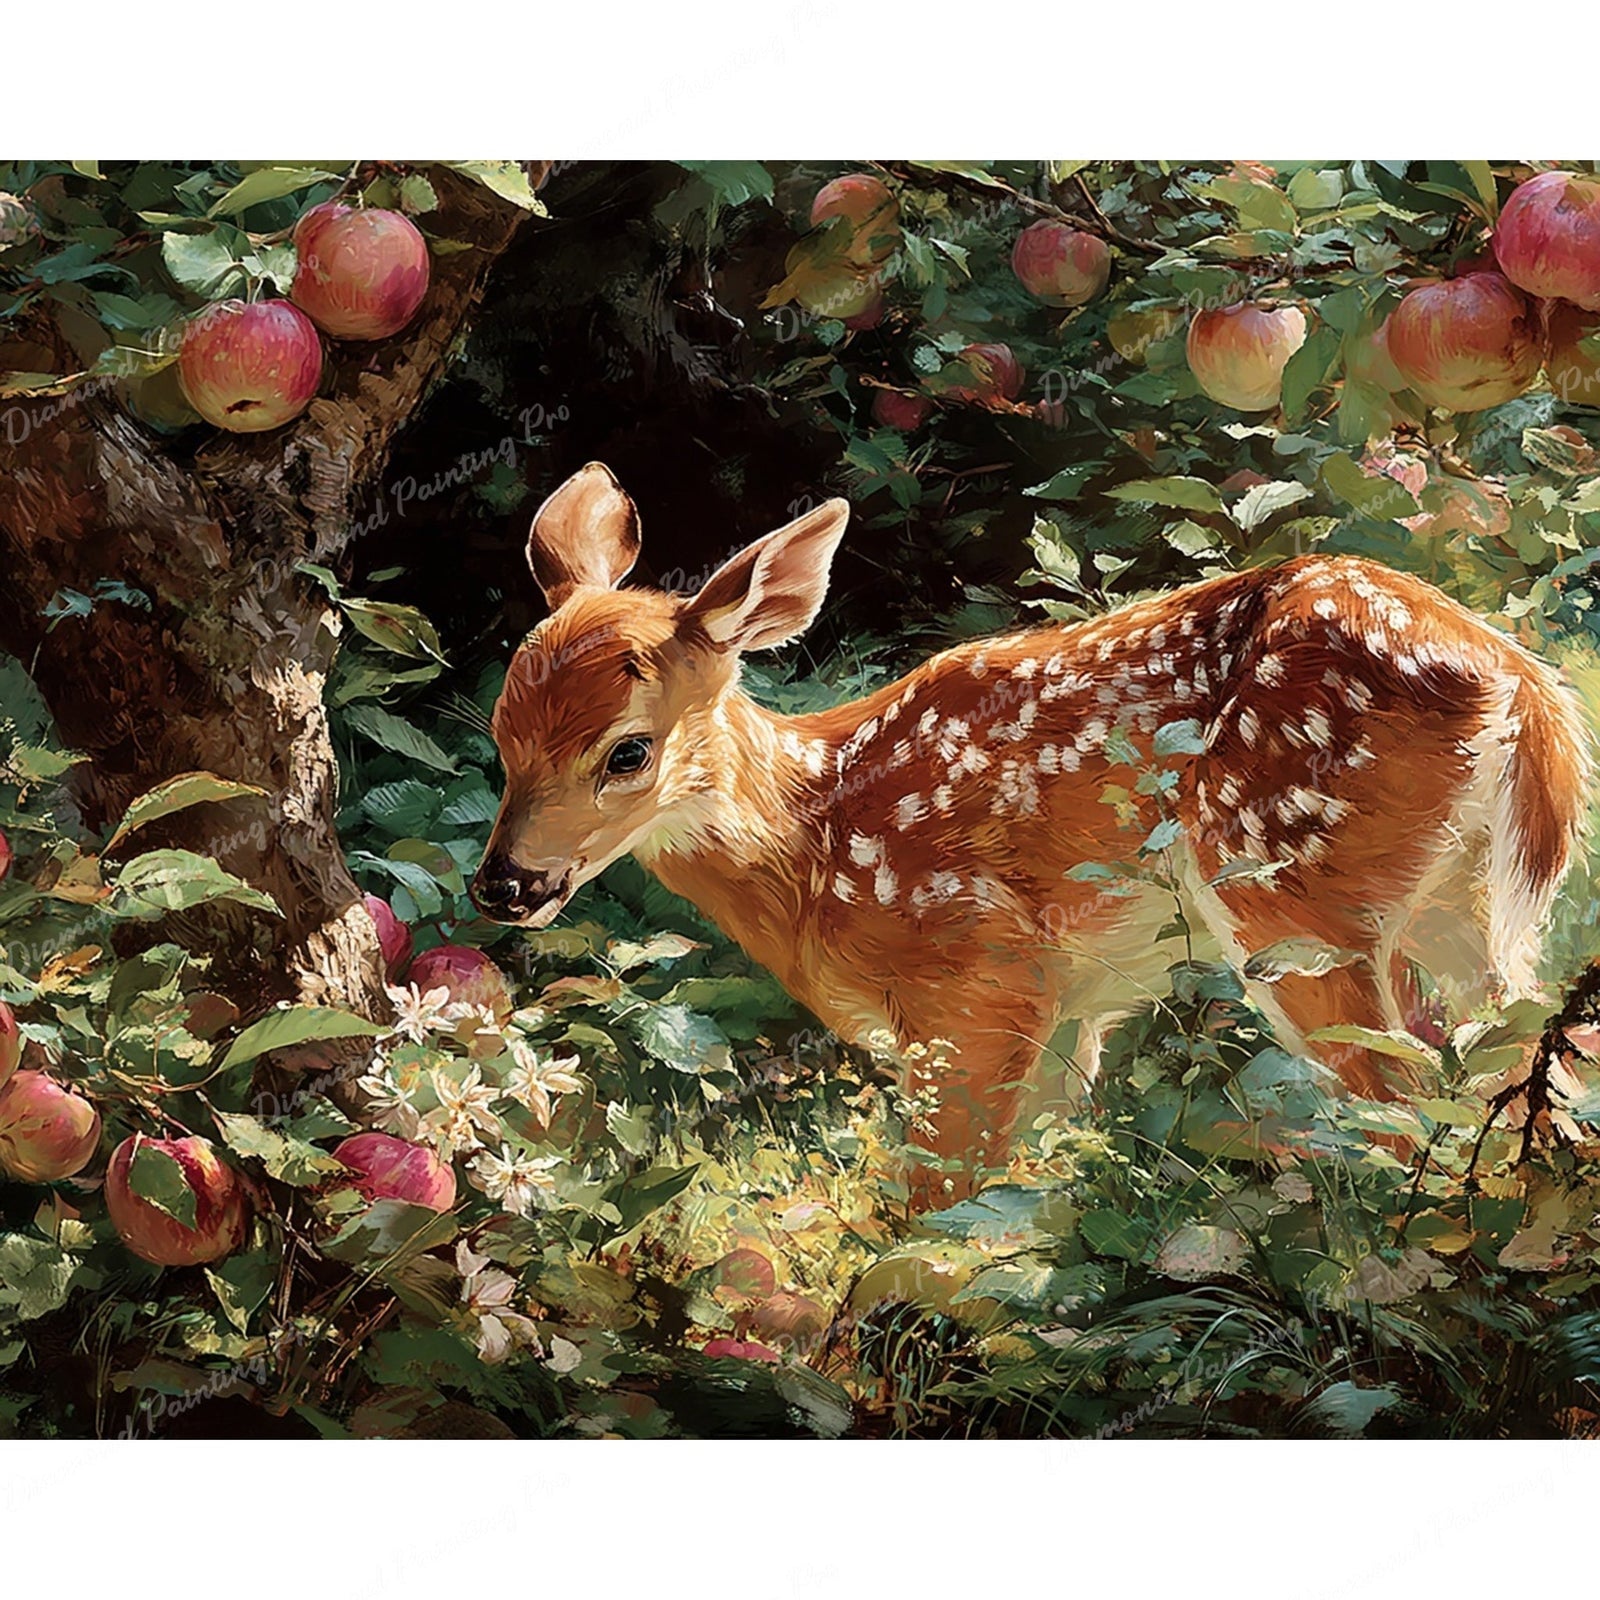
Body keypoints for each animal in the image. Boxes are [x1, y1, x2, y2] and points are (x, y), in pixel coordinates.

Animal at [471, 461, 1592, 1206]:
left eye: (625, 751)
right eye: (500, 731)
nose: (503, 887)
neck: (816, 838)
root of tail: (1520, 680)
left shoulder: (980, 968)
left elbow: (944, 1188)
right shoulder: (1070, 1006)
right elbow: (1026, 1176)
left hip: (1291, 888)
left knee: (1406, 1099)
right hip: (1464, 903)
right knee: (1522, 1060)